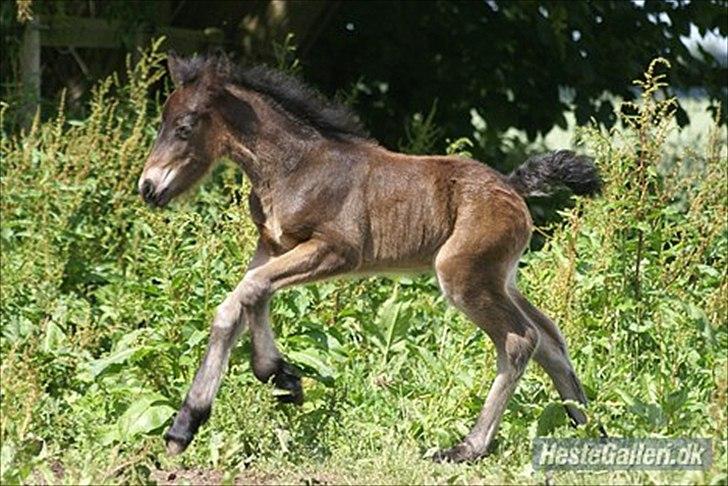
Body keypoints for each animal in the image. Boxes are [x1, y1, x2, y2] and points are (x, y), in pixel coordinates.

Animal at [137, 52, 602, 463]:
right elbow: (231, 309)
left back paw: (467, 448)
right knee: (550, 337)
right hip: (498, 278)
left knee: (520, 340)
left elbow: (253, 290)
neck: (292, 167)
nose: (147, 187)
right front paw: (184, 426)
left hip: (463, 276)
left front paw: (282, 377)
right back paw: (587, 428)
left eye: (183, 127)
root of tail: (511, 186)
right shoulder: (271, 246)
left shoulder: (337, 250)